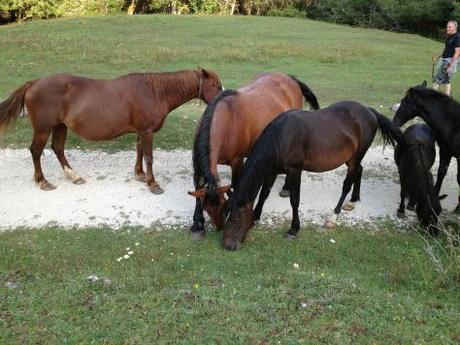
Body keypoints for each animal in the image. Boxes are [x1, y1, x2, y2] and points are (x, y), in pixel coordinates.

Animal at [0, 68, 223, 192]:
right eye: (214, 85)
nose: (223, 97)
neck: (154, 92)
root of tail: (33, 83)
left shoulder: (141, 131)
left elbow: (139, 151)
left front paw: (140, 174)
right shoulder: (147, 131)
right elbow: (149, 156)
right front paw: (152, 183)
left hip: (60, 126)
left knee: (58, 148)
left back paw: (73, 176)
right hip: (43, 128)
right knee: (36, 151)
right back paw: (42, 181)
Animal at [188, 72, 320, 239]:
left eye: (223, 205)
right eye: (207, 208)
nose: (219, 226)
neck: (226, 122)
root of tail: (289, 78)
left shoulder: (237, 162)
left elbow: (236, 184)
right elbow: (198, 188)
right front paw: (197, 224)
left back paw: (286, 187)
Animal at [223, 101, 402, 249]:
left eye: (236, 219)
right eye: (225, 214)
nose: (228, 245)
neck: (281, 138)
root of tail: (369, 111)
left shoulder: (295, 171)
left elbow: (294, 200)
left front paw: (293, 229)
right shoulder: (272, 171)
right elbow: (264, 194)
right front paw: (257, 215)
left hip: (355, 157)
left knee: (347, 184)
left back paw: (333, 217)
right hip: (351, 158)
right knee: (359, 170)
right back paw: (354, 199)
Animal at [392, 81, 460, 212]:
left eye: (405, 101)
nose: (394, 122)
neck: (453, 125)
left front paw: (458, 208)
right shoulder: (445, 151)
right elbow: (441, 172)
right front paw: (435, 197)